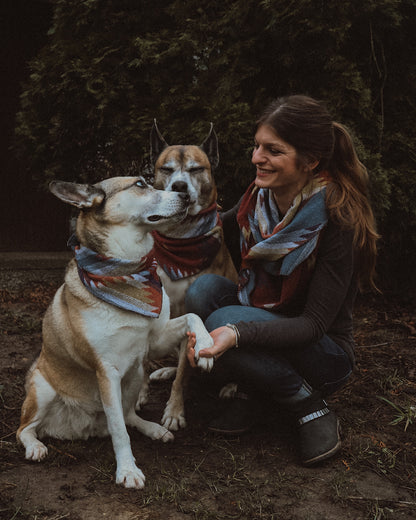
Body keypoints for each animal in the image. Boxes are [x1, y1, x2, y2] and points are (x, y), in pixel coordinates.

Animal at [16, 177, 213, 490]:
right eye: (141, 184)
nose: (184, 195)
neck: (126, 273)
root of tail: (79, 428)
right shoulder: (106, 371)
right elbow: (119, 430)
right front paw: (128, 470)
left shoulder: (154, 341)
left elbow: (193, 317)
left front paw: (205, 346)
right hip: (42, 389)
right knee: (25, 428)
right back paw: (35, 446)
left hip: (135, 375)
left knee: (129, 414)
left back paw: (153, 429)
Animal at [141, 122, 237, 430]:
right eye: (166, 169)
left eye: (196, 169)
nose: (179, 186)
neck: (178, 238)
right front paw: (140, 394)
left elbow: (185, 373)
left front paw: (174, 411)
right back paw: (166, 371)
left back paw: (230, 385)